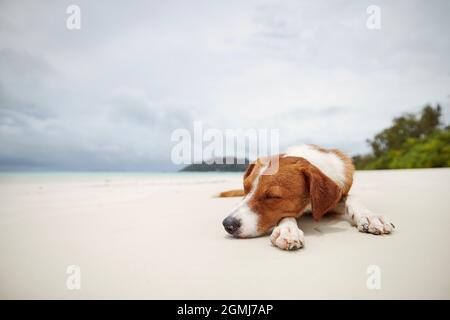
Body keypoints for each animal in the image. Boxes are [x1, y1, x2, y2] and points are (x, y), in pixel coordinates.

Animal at [221, 144, 394, 251]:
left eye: (273, 196)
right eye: (246, 187)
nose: (227, 224)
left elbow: (353, 198)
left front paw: (370, 216)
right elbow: (286, 215)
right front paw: (288, 229)